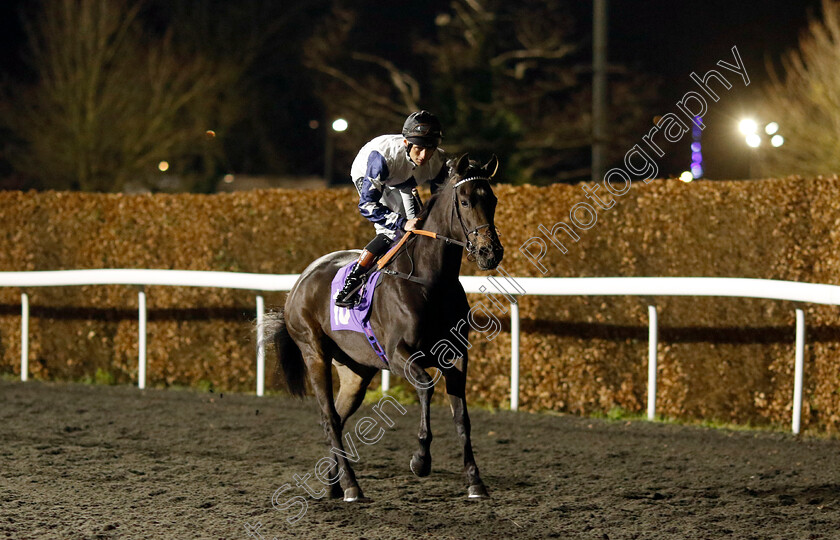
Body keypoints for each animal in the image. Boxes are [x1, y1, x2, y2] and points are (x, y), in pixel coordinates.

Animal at [268, 153, 506, 502]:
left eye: (492, 200)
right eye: (464, 200)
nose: (491, 252)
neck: (431, 281)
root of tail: (300, 281)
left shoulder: (457, 355)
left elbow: (462, 416)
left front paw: (475, 481)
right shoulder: (398, 354)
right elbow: (426, 386)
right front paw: (420, 460)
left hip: (356, 370)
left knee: (337, 417)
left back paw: (335, 483)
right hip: (314, 352)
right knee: (329, 418)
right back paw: (352, 486)